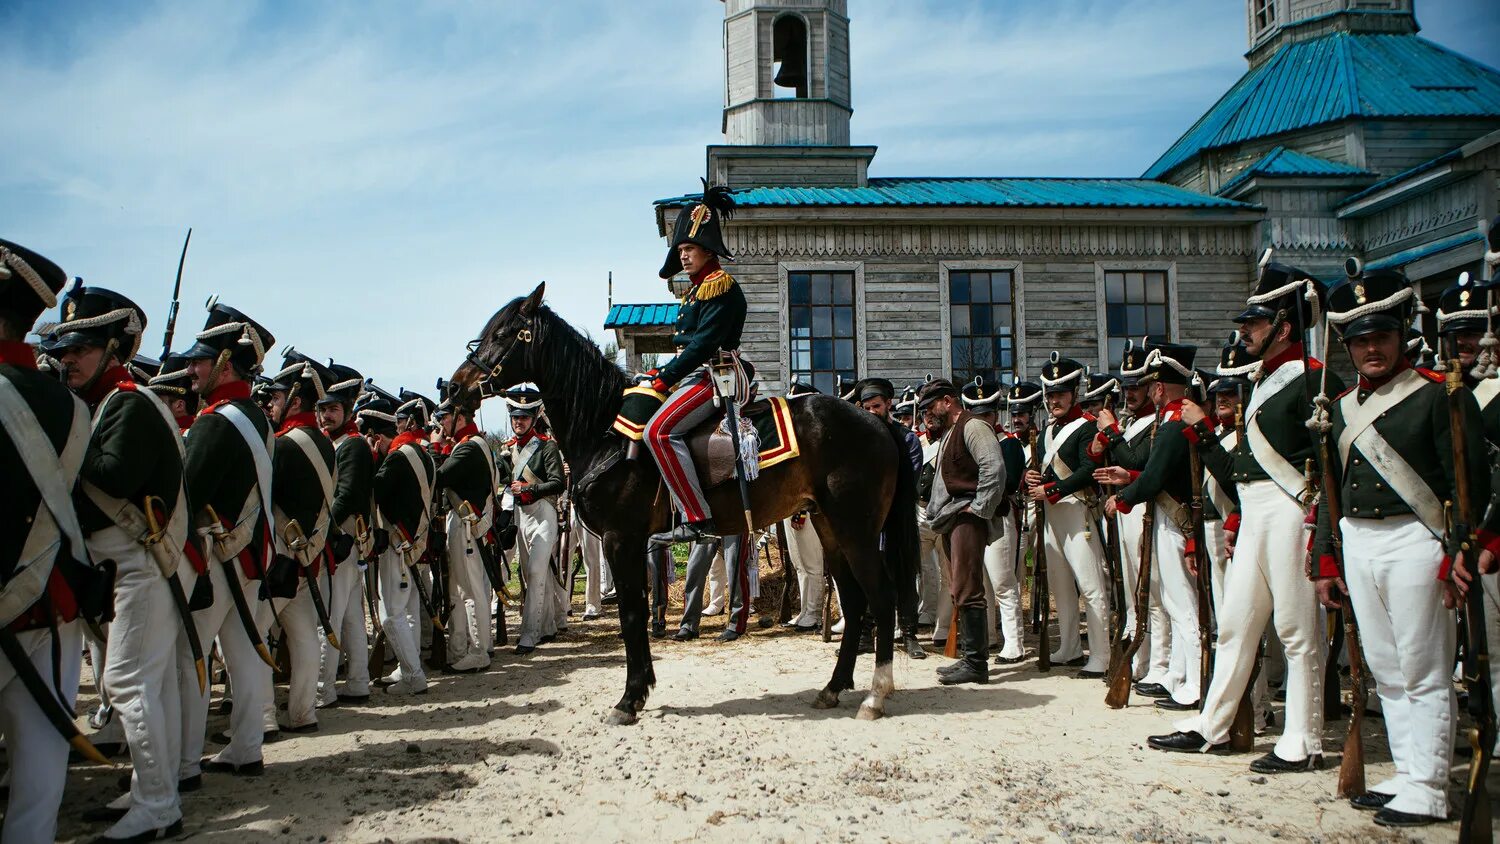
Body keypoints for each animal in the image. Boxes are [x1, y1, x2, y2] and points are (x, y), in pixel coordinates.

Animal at [450, 286, 918, 725]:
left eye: (503, 334)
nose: (455, 386)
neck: (605, 431)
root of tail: (878, 422)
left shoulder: (621, 540)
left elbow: (632, 615)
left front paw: (629, 699)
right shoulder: (634, 544)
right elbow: (638, 611)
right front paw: (641, 689)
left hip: (856, 531)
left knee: (882, 597)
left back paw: (876, 695)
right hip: (830, 529)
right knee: (854, 601)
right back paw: (834, 687)